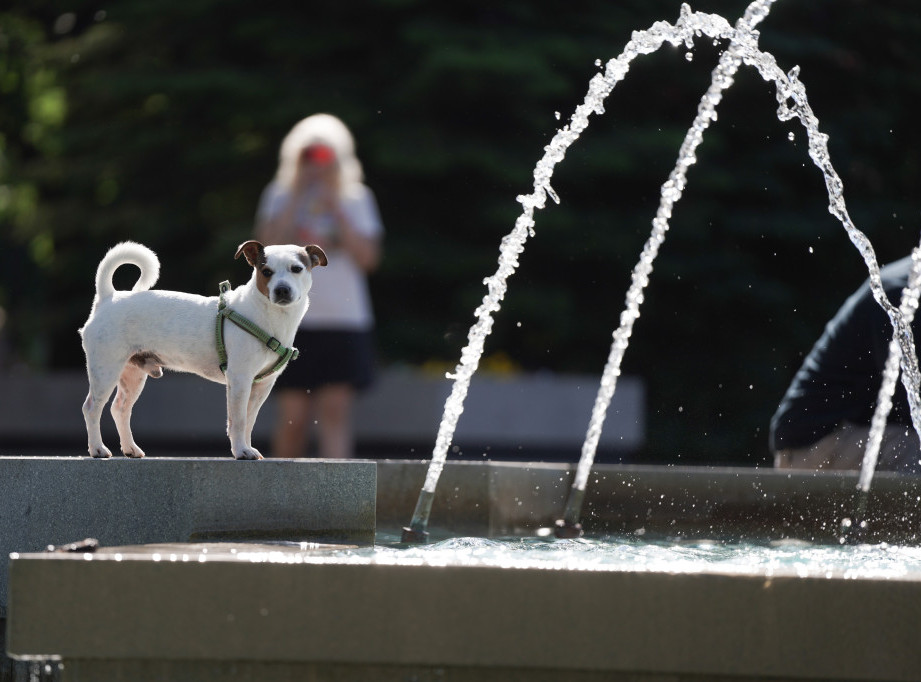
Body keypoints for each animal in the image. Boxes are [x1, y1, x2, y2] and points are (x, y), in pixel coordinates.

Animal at [80, 239, 328, 456]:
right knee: (91, 408)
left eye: (297, 269)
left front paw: (247, 447)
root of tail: (108, 298)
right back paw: (98, 449)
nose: (282, 290)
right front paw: (240, 451)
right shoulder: (239, 379)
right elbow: (238, 420)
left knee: (120, 409)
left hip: (132, 373)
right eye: (266, 272)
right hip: (106, 369)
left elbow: (249, 420)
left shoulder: (263, 385)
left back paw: (130, 448)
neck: (270, 318)